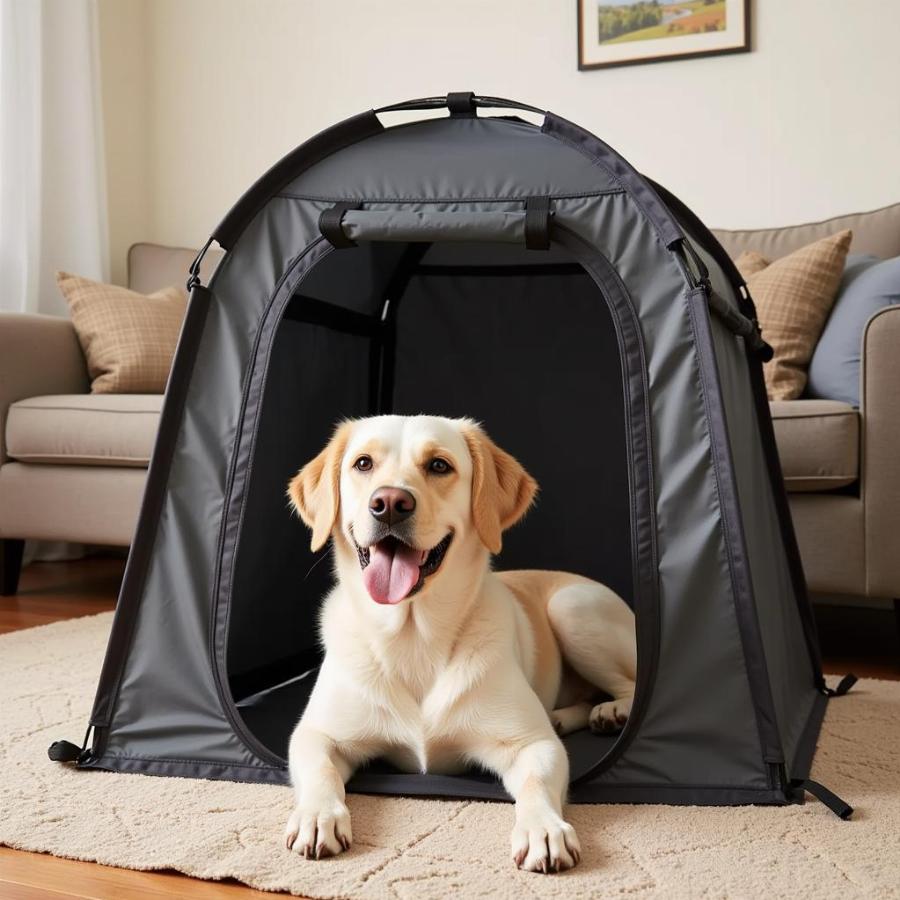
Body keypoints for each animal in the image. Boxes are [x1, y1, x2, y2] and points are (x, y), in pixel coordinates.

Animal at [284, 416, 636, 872]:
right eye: (363, 463)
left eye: (439, 465)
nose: (390, 503)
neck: (413, 635)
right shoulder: (316, 733)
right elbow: (320, 772)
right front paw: (317, 816)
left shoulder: (532, 744)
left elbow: (537, 783)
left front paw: (542, 828)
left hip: (573, 607)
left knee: (630, 684)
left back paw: (611, 712)